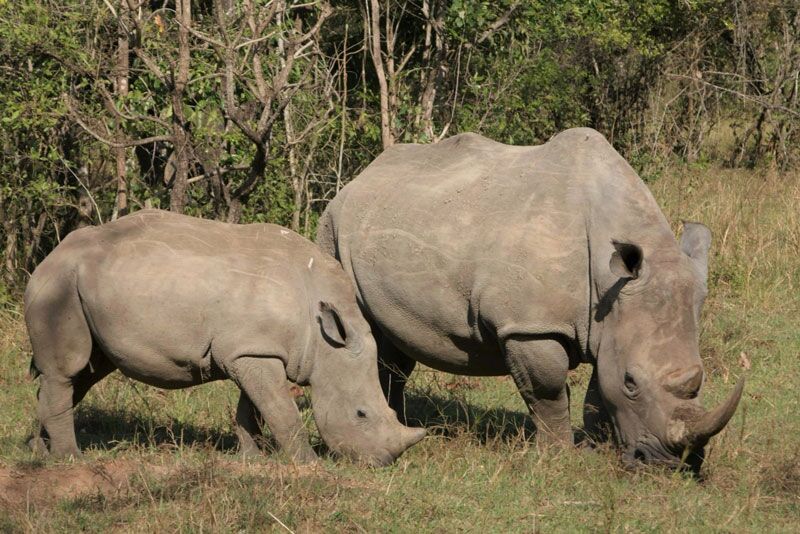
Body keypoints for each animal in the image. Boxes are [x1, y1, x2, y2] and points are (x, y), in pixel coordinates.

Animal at [24, 209, 425, 465]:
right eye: (361, 414)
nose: (382, 463)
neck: (323, 337)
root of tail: (49, 257)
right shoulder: (253, 352)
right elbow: (281, 410)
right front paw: (309, 464)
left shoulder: (251, 351)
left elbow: (253, 408)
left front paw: (253, 459)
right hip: (59, 286)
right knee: (68, 370)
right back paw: (71, 460)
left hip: (83, 288)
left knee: (85, 373)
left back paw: (41, 454)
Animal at [317, 128, 744, 471]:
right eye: (632, 382)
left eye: (701, 380)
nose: (668, 466)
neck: (610, 281)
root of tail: (362, 175)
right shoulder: (531, 326)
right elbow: (548, 392)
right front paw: (559, 456)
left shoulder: (610, 323)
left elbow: (597, 390)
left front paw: (596, 448)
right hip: (332, 224)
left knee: (391, 343)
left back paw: (398, 423)